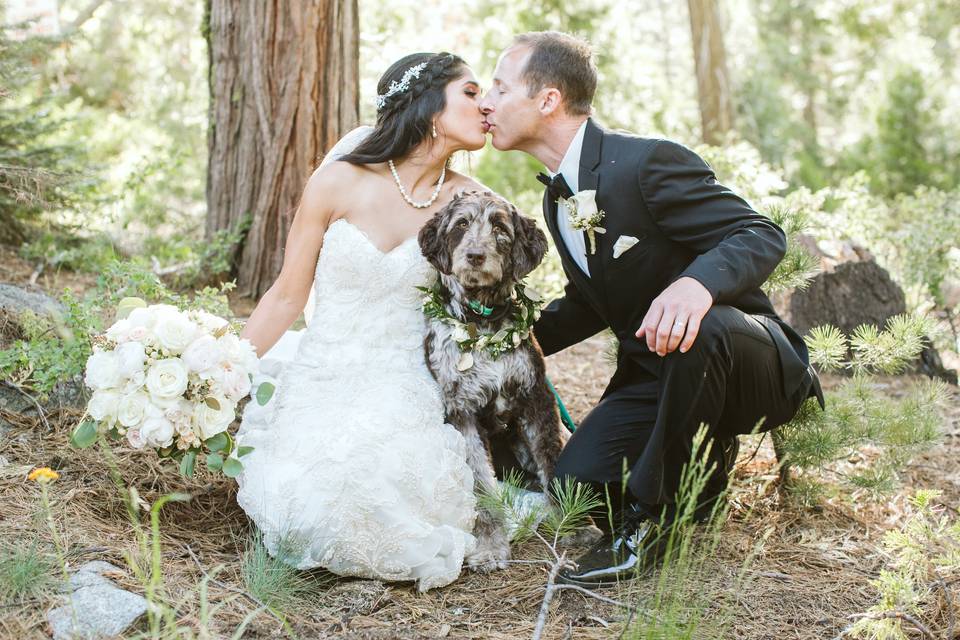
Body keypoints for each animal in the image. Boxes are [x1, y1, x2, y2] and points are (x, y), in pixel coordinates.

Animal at [416, 189, 596, 568]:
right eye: (461, 224)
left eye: (499, 227)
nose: (475, 256)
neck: (483, 322)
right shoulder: (462, 412)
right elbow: (482, 487)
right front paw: (489, 545)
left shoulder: (536, 398)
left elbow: (552, 462)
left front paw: (574, 526)